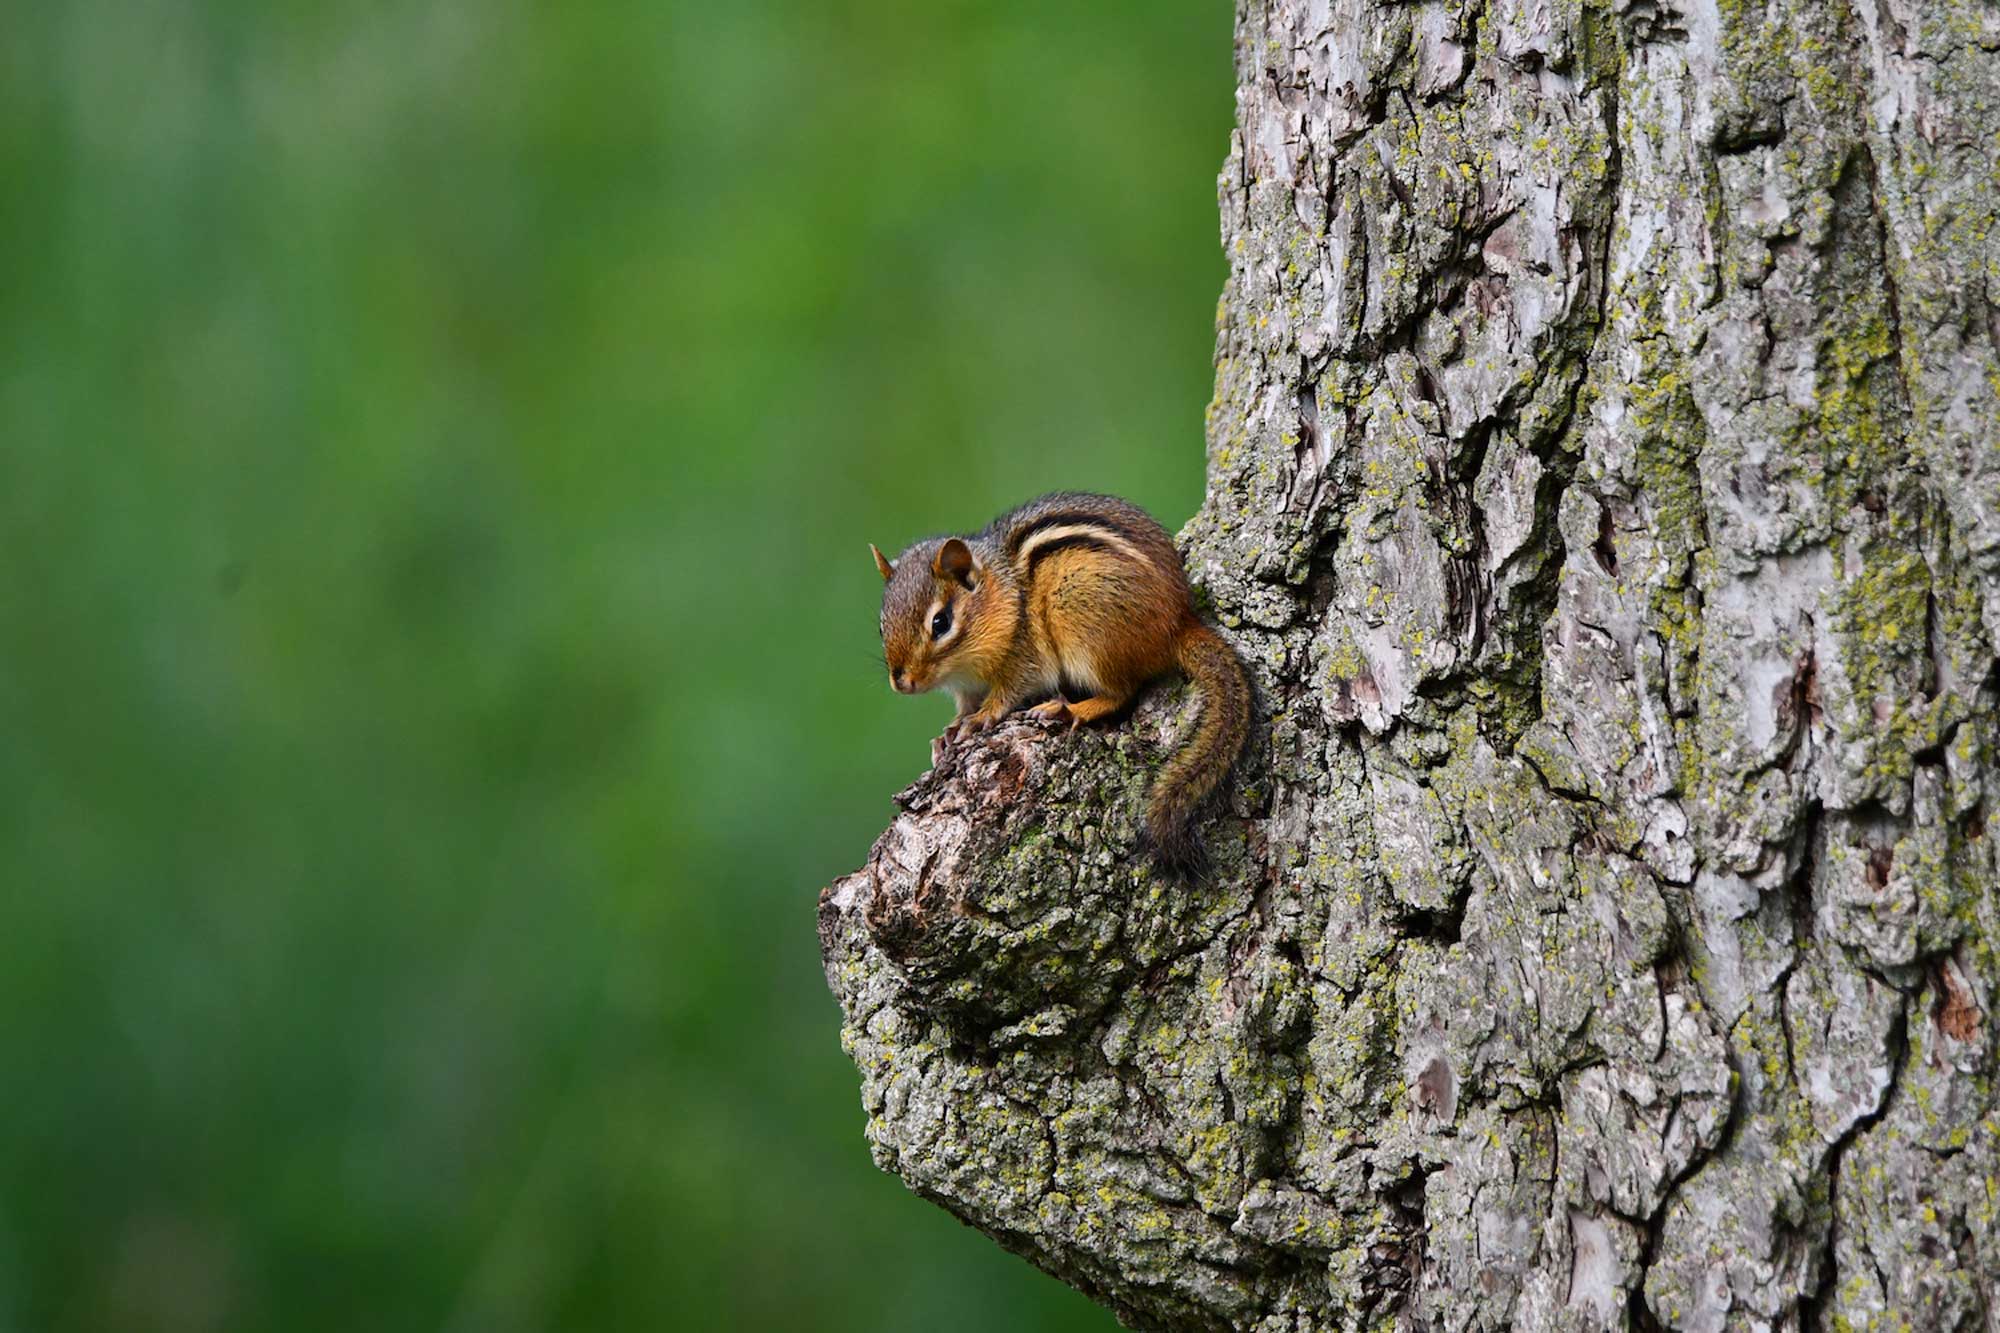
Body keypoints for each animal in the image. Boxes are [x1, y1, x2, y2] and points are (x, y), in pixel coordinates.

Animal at [871, 492, 1250, 872]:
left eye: (941, 623)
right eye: (882, 625)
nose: (902, 683)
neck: (1006, 595)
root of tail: (1180, 623)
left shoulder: (1024, 656)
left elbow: (1007, 693)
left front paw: (980, 718)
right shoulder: (966, 688)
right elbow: (963, 708)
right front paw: (948, 733)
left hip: (1083, 619)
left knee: (1121, 693)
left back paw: (1069, 710)